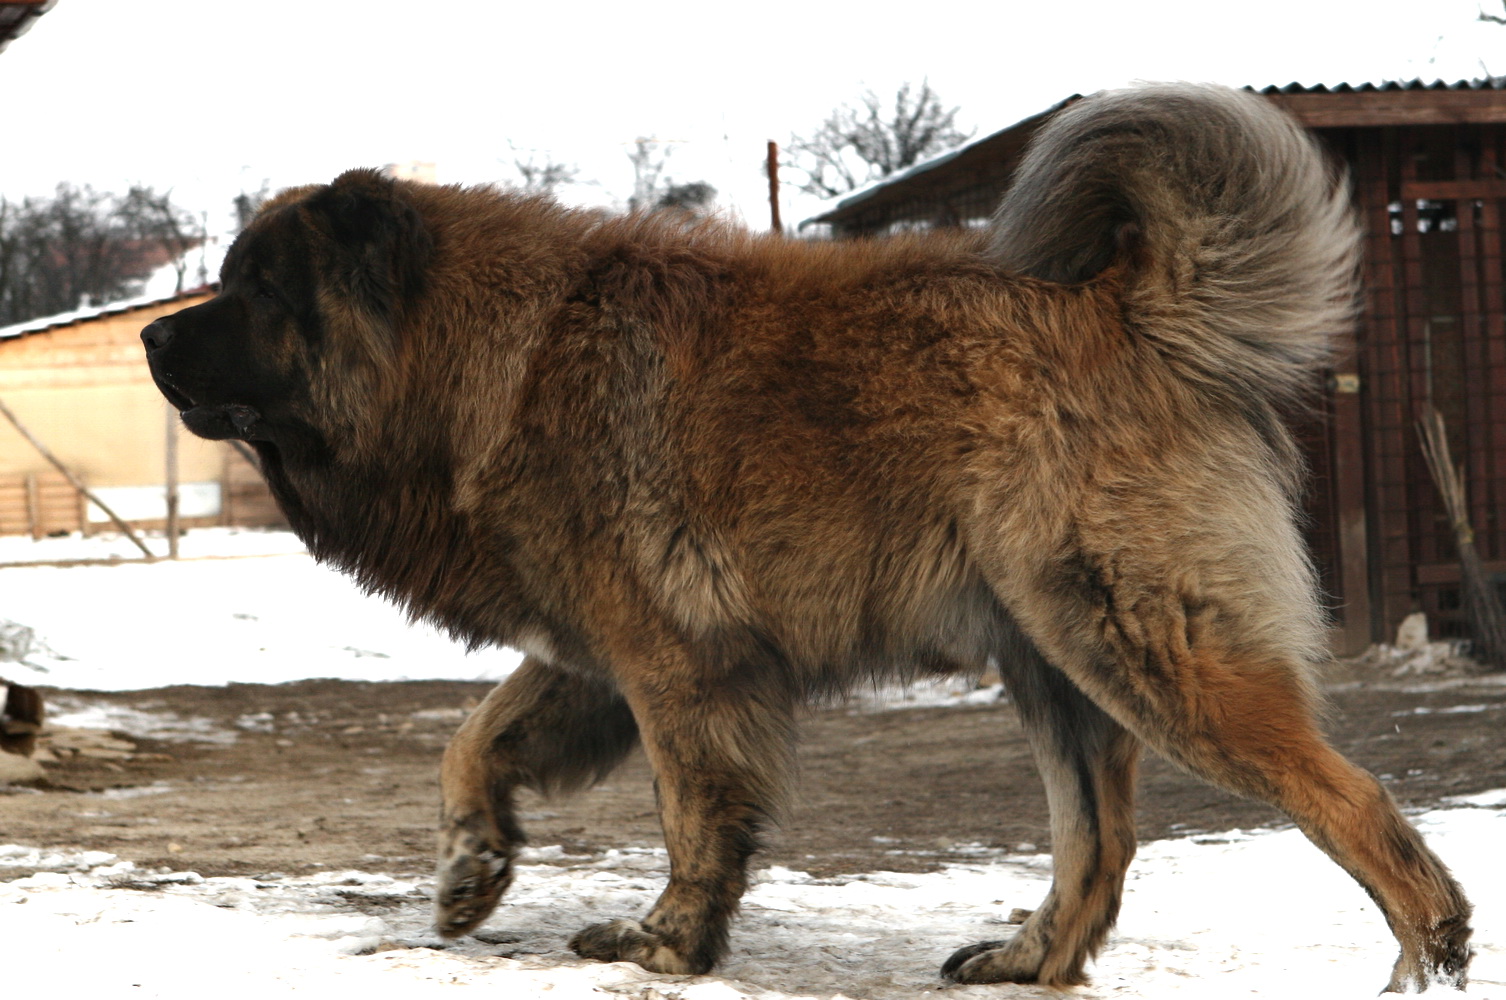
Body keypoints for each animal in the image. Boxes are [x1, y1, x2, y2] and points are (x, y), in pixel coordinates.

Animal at [141, 85, 1469, 993]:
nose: (152, 336)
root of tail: (1122, 307)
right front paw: (472, 863)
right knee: (1099, 839)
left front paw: (665, 939)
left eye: (256, 289)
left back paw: (1425, 955)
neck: (483, 354)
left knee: (1354, 807)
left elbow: (691, 812)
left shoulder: (672, 664)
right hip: (1053, 659)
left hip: (1141, 647)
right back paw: (1027, 956)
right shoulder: (597, 652)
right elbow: (474, 739)